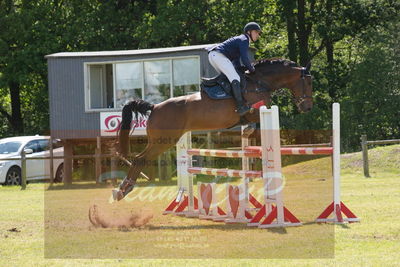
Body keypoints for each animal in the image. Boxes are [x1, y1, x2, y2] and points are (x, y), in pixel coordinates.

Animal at [111, 58, 312, 201]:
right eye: (308, 83)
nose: (307, 107)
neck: (259, 81)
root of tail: (154, 107)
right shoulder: (256, 110)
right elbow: (254, 123)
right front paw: (250, 132)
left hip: (161, 140)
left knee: (139, 158)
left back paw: (123, 189)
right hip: (164, 141)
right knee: (139, 159)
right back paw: (123, 190)